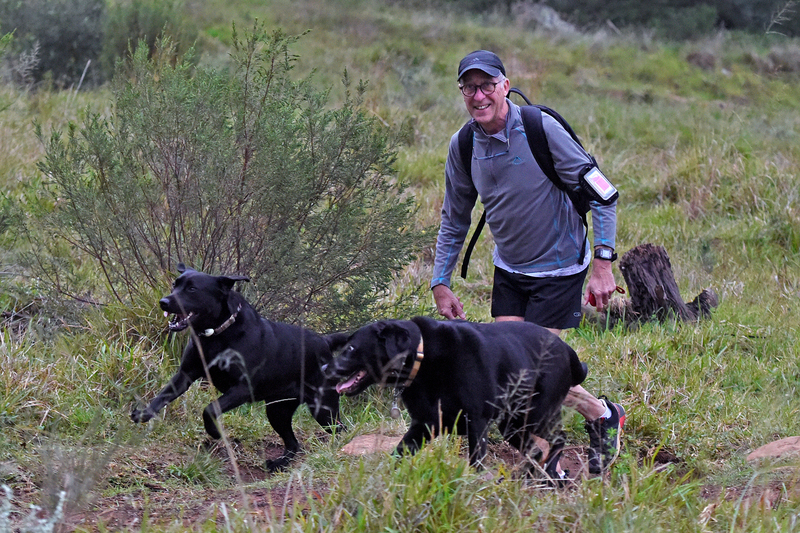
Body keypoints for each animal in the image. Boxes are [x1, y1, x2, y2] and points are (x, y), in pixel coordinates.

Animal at [130, 264, 340, 468]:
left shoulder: (242, 388)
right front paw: (143, 414)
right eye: (175, 285)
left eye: (192, 289)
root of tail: (325, 341)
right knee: (293, 443)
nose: (163, 301)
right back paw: (279, 464)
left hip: (323, 409)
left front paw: (214, 432)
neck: (216, 334)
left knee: (339, 429)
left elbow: (210, 409)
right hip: (277, 411)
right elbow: (162, 396)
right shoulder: (185, 375)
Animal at [324, 316, 588, 478]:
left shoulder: (476, 422)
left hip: (536, 415)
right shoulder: (424, 424)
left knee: (559, 439)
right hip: (512, 424)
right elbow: (398, 453)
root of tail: (567, 349)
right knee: (535, 451)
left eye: (350, 348)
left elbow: (476, 462)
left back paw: (550, 471)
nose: (325, 368)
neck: (423, 358)